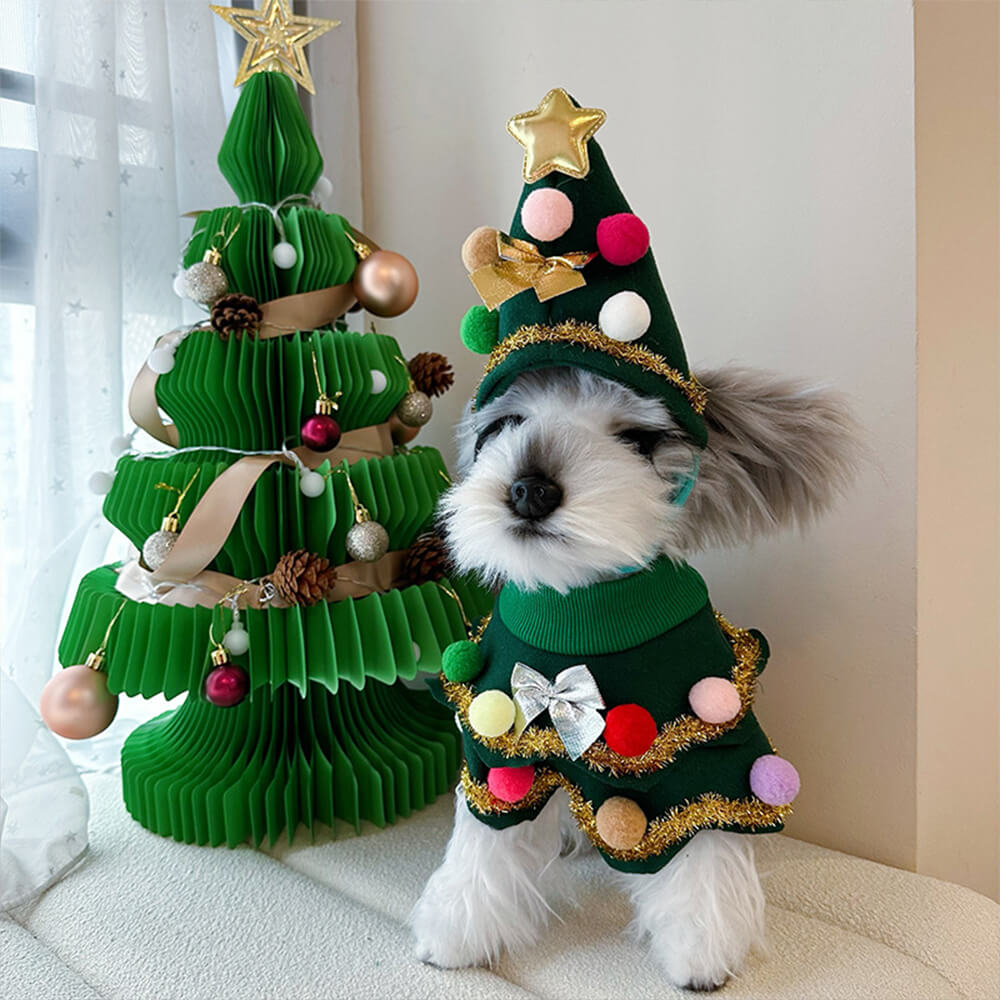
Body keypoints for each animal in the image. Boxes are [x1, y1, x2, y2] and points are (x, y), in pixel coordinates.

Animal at [410, 368, 856, 992]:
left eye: (637, 439)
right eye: (505, 424)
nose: (529, 489)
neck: (580, 616)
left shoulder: (700, 754)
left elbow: (701, 845)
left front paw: (702, 948)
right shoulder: (496, 748)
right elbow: (482, 845)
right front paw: (456, 930)